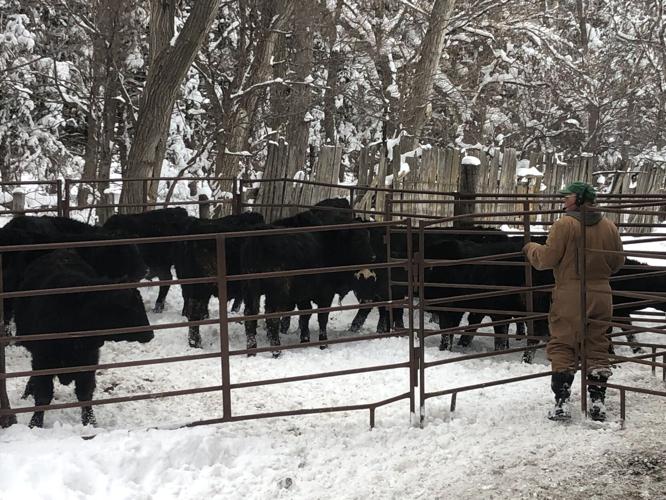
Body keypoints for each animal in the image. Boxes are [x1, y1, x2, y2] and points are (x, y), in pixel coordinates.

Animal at [15, 250, 154, 428]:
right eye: (129, 308)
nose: (150, 334)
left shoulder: (89, 360)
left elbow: (85, 394)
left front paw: (90, 423)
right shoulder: (43, 360)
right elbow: (44, 395)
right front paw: (35, 424)